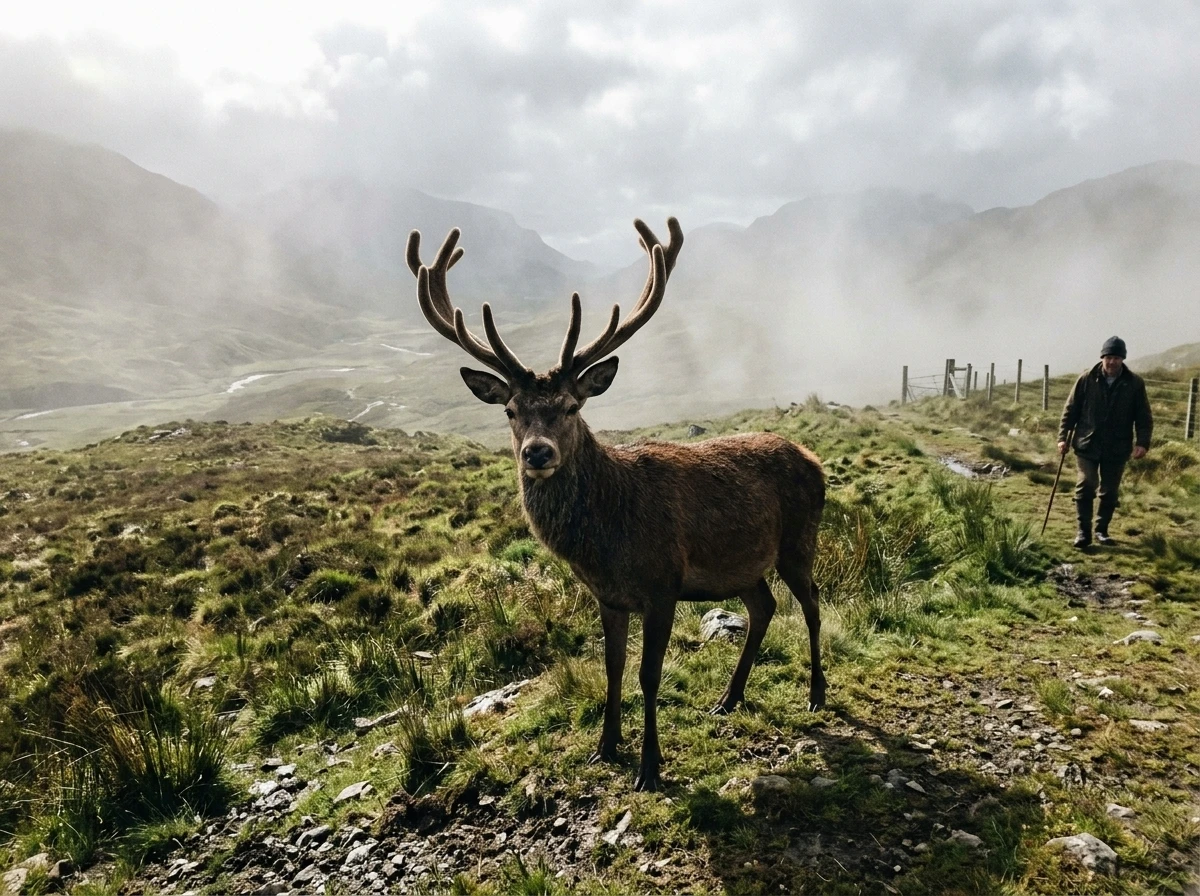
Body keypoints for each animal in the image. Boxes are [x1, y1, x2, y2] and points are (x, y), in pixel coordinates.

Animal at [405, 217, 826, 791]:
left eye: (570, 406)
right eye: (511, 410)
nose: (538, 452)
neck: (606, 541)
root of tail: (814, 459)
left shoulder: (663, 584)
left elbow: (649, 675)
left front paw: (649, 767)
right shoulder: (607, 595)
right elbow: (612, 667)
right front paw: (604, 747)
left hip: (799, 541)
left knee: (812, 603)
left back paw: (816, 694)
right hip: (742, 566)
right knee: (764, 607)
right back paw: (729, 698)